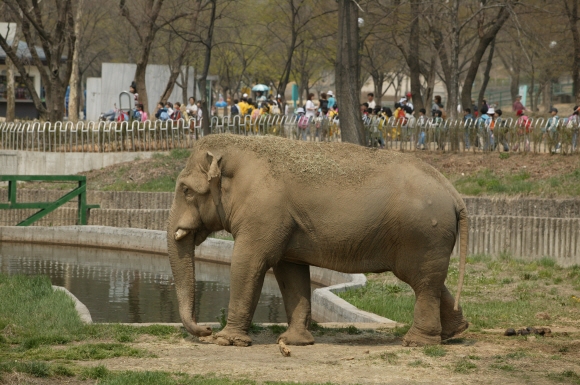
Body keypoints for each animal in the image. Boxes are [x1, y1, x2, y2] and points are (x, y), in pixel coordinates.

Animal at [167, 134, 466, 346]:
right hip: (429, 238)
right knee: (431, 281)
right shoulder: (285, 223)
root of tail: (453, 192)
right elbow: (290, 272)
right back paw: (453, 333)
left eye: (186, 190)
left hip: (423, 234)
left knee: (422, 282)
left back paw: (416, 343)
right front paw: (295, 342)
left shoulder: (263, 213)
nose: (206, 329)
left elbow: (248, 262)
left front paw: (226, 340)